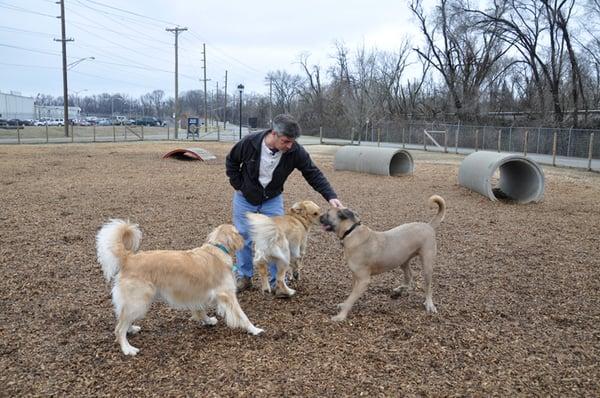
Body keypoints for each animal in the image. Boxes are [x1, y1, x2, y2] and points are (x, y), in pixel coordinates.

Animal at [95, 219, 262, 356]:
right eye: (238, 232)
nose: (247, 237)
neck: (218, 248)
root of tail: (129, 258)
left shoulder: (198, 294)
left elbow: (201, 310)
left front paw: (207, 321)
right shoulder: (227, 294)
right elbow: (242, 316)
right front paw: (254, 329)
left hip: (135, 303)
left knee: (122, 319)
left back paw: (131, 329)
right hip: (139, 301)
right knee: (119, 328)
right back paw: (127, 349)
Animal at [322, 194, 442, 322]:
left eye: (328, 214)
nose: (319, 216)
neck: (351, 232)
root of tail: (428, 225)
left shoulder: (363, 280)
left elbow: (351, 298)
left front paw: (341, 316)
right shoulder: (355, 276)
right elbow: (350, 294)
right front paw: (343, 305)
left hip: (427, 264)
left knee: (428, 287)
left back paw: (429, 304)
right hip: (403, 260)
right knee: (409, 275)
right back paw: (401, 289)